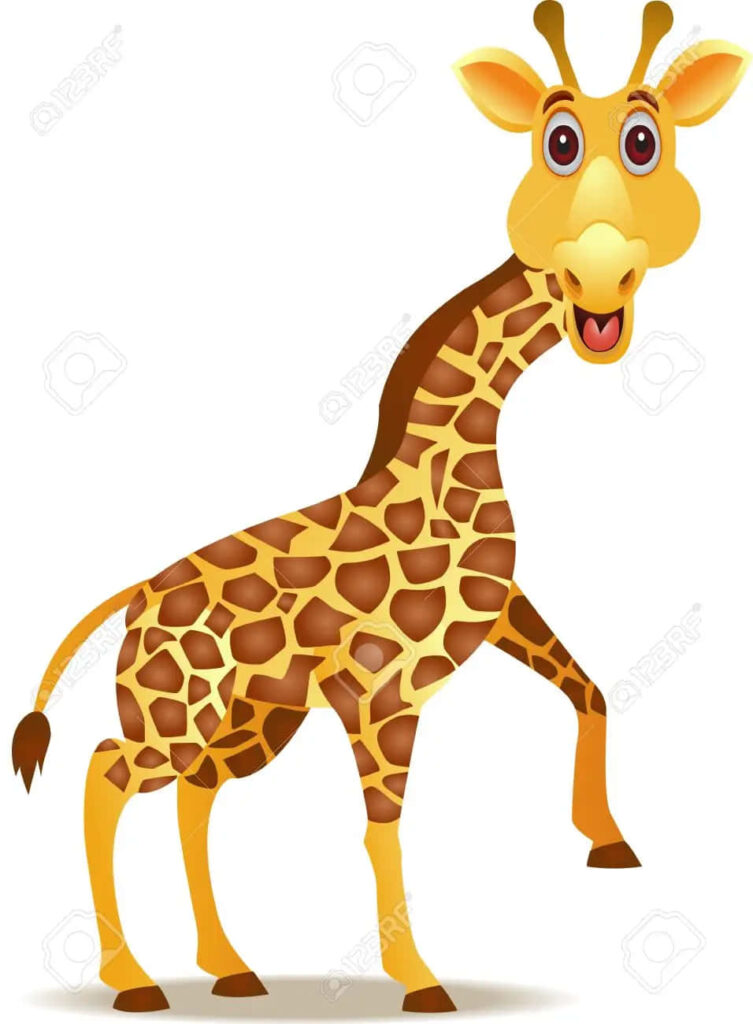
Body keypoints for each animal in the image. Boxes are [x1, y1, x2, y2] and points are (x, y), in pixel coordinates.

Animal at [12, 2, 748, 1015]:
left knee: (195, 797)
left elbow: (589, 689)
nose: (599, 281)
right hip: (177, 711)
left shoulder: (494, 616)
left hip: (251, 720)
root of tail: (132, 598)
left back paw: (229, 967)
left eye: (647, 142)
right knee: (105, 772)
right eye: (556, 143)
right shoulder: (379, 691)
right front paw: (420, 979)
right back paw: (132, 980)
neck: (447, 461)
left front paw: (606, 837)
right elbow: (381, 830)